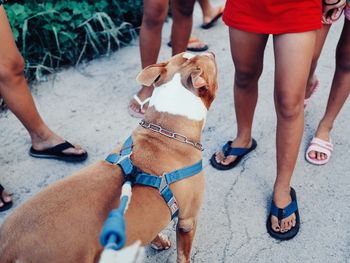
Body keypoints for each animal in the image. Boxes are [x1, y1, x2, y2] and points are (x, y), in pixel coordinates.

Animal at [0, 51, 217, 263]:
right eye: (212, 66)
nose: (211, 52)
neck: (164, 129)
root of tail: (9, 248)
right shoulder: (187, 220)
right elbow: (183, 254)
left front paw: (158, 241)